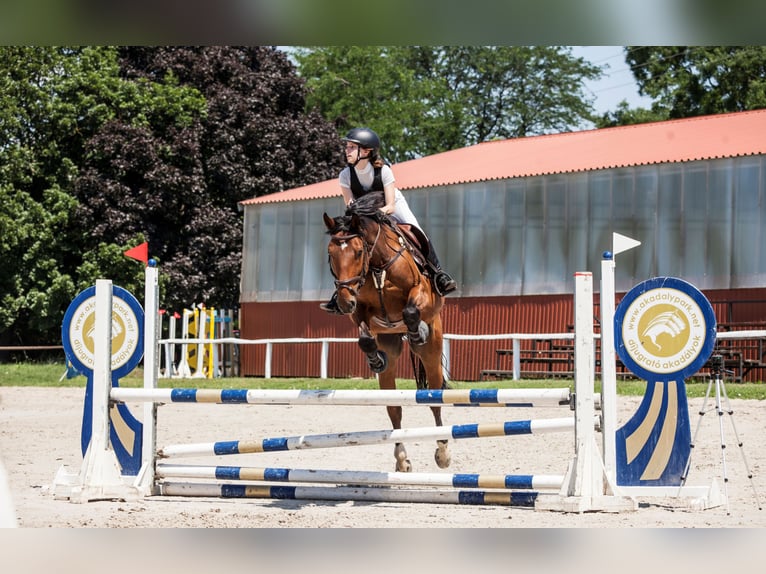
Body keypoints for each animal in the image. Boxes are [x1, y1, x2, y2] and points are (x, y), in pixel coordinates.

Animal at [322, 194, 452, 472]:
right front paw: (374, 359)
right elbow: (364, 336)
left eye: (359, 251)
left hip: (433, 350)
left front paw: (417, 331)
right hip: (391, 347)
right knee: (394, 407)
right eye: (330, 254)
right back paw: (402, 459)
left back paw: (443, 453)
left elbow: (411, 311)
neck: (378, 265)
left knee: (434, 397)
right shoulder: (361, 309)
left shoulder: (420, 293)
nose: (344, 302)